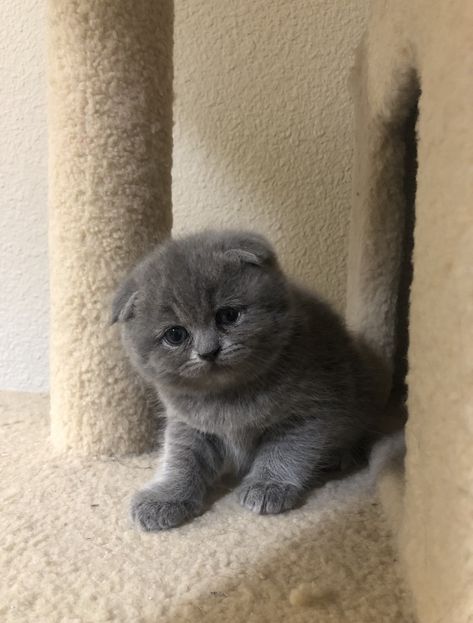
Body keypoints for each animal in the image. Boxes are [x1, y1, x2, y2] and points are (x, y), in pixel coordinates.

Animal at [111, 229, 380, 532]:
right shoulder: (188, 423)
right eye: (175, 335)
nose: (208, 351)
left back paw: (338, 456)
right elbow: (181, 457)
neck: (228, 395)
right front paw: (165, 497)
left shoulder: (310, 408)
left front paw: (268, 485)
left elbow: (286, 450)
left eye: (228, 315)